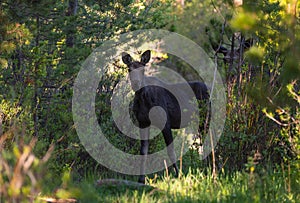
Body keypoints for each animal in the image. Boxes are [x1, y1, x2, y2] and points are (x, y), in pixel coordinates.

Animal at [120, 50, 210, 184]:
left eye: (143, 69)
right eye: (129, 69)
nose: (136, 83)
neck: (143, 99)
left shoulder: (165, 122)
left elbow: (171, 151)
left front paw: (179, 175)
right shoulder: (143, 123)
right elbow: (143, 151)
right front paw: (141, 179)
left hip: (205, 118)